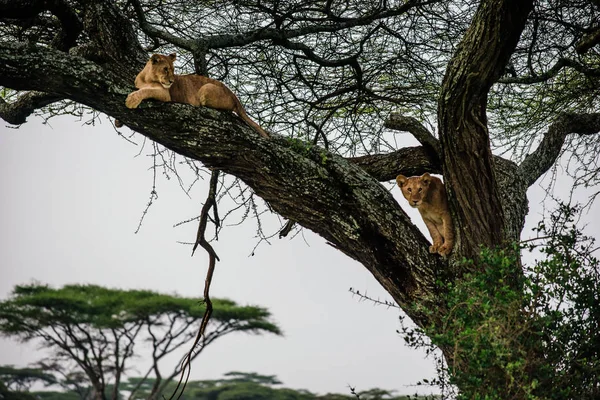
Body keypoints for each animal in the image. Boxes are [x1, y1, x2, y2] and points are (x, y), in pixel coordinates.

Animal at [124, 53, 268, 138]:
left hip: (206, 88)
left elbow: (146, 91)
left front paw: (131, 100)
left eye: (173, 70)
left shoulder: (165, 94)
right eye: (165, 69)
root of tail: (234, 95)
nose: (171, 81)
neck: (146, 78)